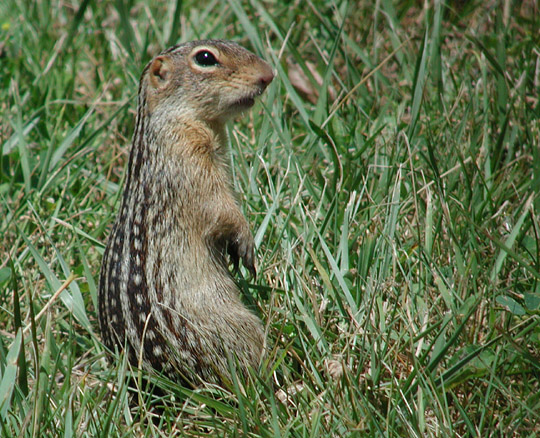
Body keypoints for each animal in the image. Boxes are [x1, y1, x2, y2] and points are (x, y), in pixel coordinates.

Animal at [98, 39, 274, 384]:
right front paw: (246, 241)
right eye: (205, 58)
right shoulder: (190, 165)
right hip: (238, 327)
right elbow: (220, 209)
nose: (269, 75)